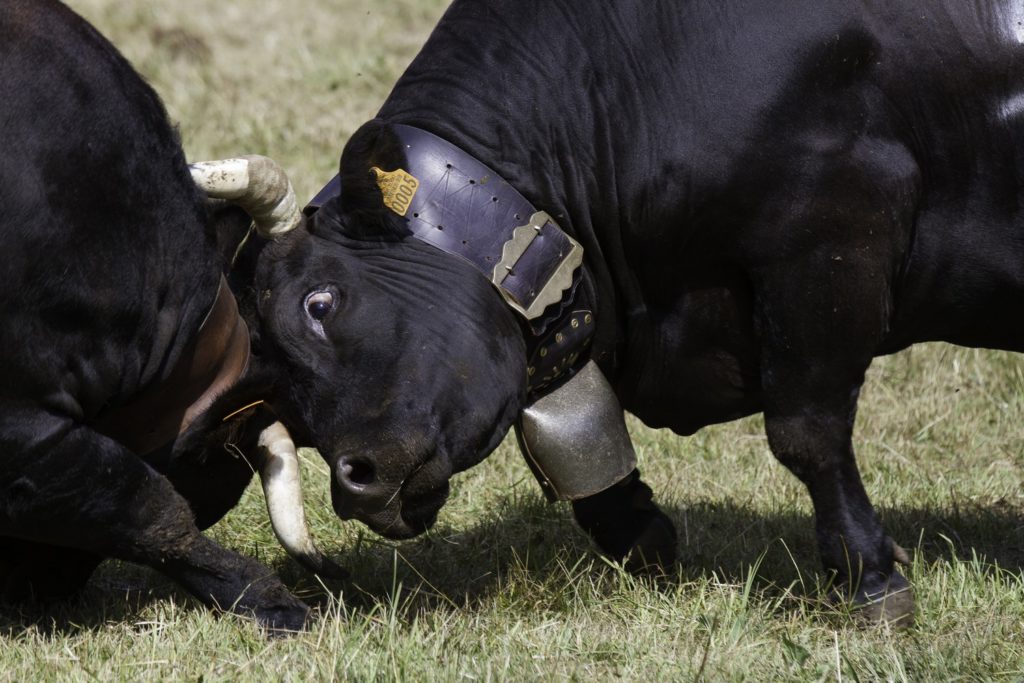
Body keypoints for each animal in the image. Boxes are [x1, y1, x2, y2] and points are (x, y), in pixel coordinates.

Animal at [260, 0, 1024, 626]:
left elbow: (807, 433)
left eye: (320, 302)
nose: (353, 482)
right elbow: (580, 449)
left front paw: (868, 579)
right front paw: (645, 539)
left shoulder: (830, 237)